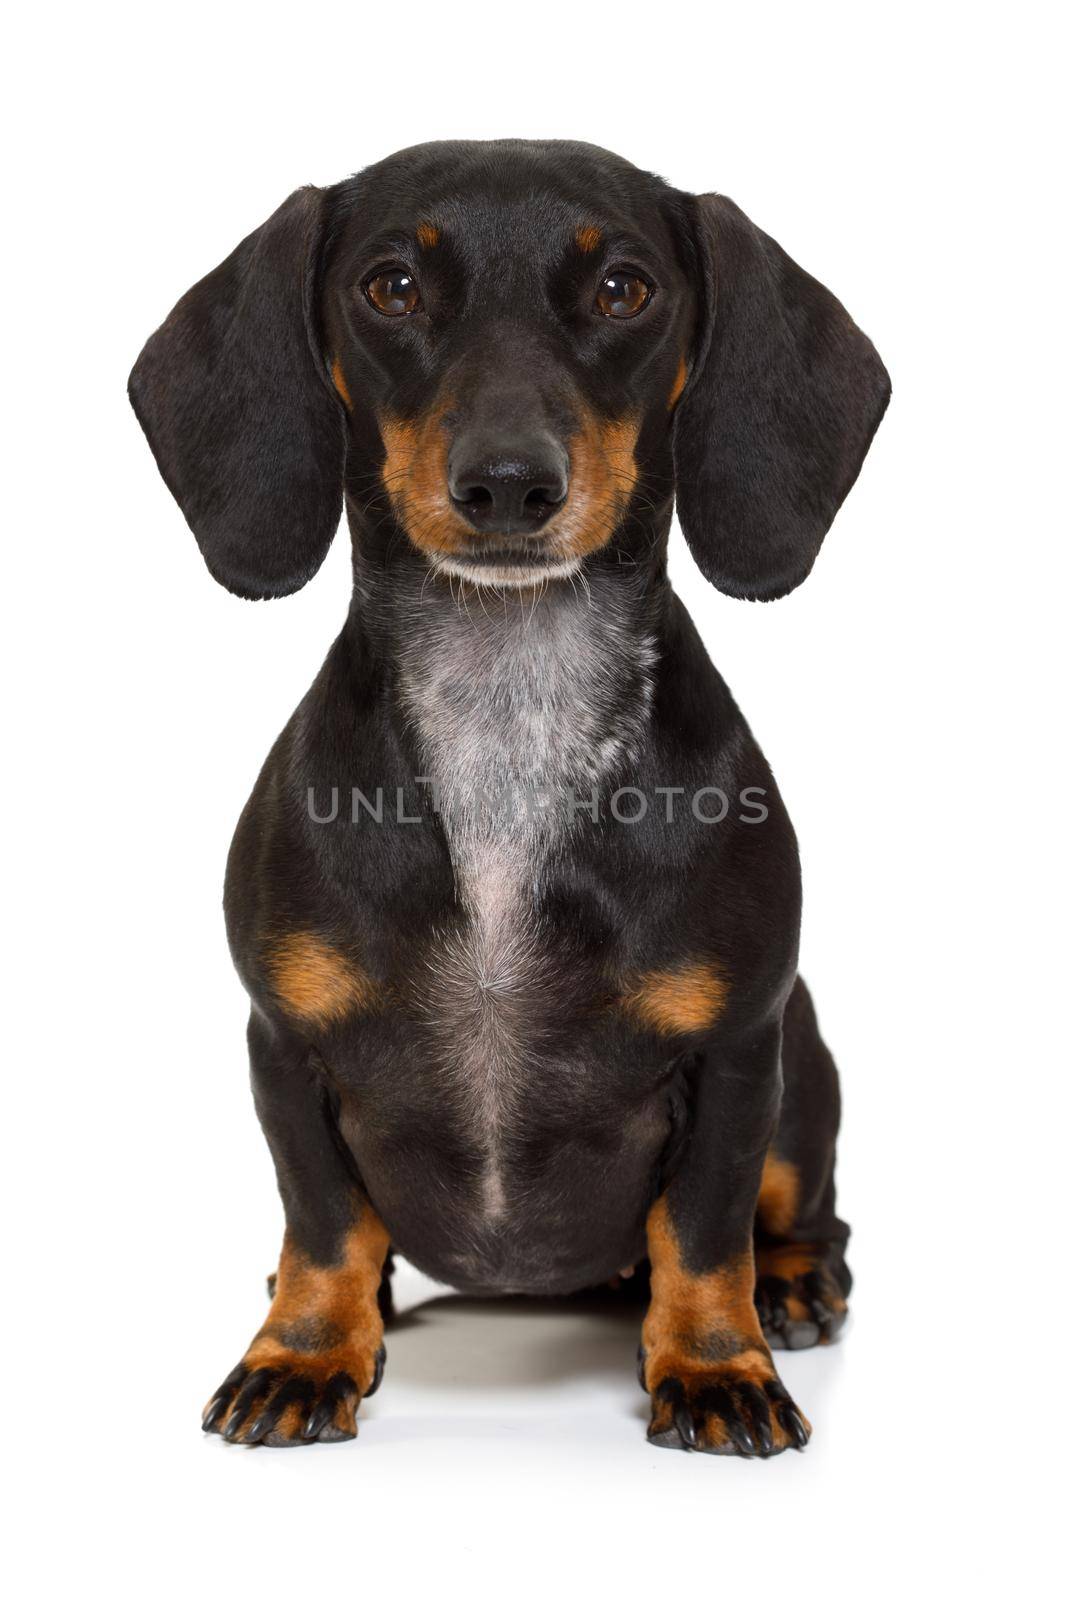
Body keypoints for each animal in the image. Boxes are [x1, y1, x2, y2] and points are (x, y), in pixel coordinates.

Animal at [129, 144, 889, 1459]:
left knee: (798, 1212)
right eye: (388, 286)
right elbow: (324, 1220)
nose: (506, 484)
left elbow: (702, 1230)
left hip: (804, 1065)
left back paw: (790, 1284)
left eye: (626, 289)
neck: (506, 716)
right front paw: (305, 1348)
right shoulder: (285, 1040)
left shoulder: (738, 1047)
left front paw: (714, 1368)